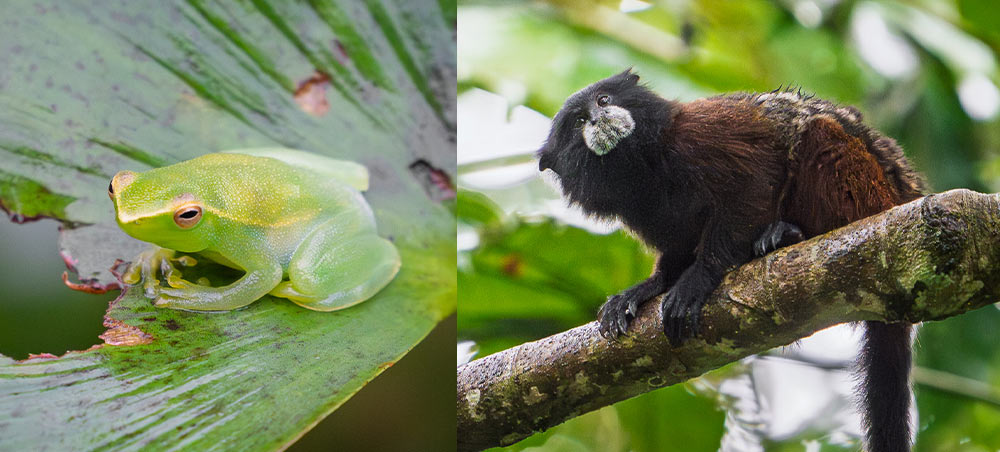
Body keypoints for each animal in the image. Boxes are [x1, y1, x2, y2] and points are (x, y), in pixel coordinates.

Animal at [536, 69, 925, 452]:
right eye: (579, 121)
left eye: (604, 100)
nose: (598, 117)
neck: (642, 167)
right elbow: (677, 243)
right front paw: (648, 287)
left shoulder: (703, 131)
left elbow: (753, 179)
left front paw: (697, 280)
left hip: (868, 191)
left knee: (819, 131)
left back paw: (791, 234)